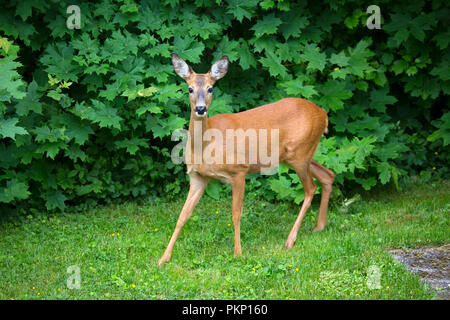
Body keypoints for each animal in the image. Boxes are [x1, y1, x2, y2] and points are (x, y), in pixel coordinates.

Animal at [156, 53, 336, 266]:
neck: (206, 146)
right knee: (327, 175)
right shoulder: (198, 177)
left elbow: (236, 213)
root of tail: (323, 114)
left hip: (299, 154)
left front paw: (238, 253)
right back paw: (319, 227)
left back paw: (290, 240)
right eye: (190, 88)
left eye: (210, 88)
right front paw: (163, 258)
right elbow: (183, 215)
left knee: (310, 188)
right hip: (299, 155)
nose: (200, 109)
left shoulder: (239, 171)